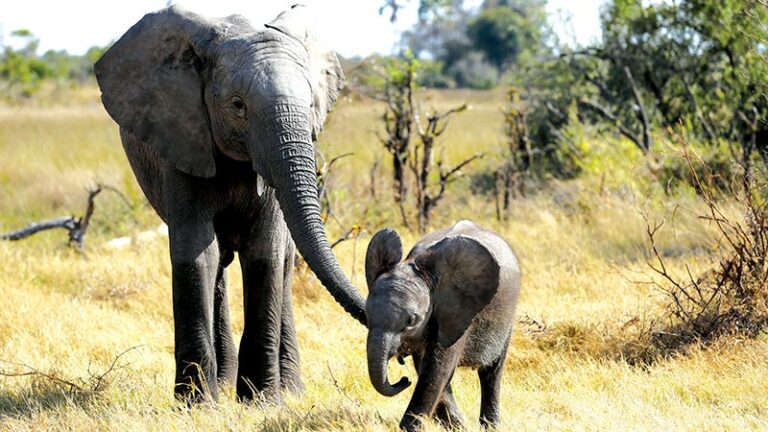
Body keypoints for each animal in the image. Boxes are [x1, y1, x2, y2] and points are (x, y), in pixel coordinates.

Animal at [93, 5, 367, 403]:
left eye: (311, 104)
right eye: (238, 105)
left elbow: (265, 252)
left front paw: (262, 401)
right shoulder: (183, 139)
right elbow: (196, 255)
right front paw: (196, 404)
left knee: (284, 261)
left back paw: (290, 390)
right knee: (219, 263)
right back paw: (222, 385)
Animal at [364, 220, 521, 430]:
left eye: (411, 321)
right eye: (366, 314)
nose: (404, 380)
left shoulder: (458, 311)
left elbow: (438, 370)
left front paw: (409, 428)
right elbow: (430, 369)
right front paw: (458, 425)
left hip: (506, 319)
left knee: (492, 373)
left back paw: (490, 426)